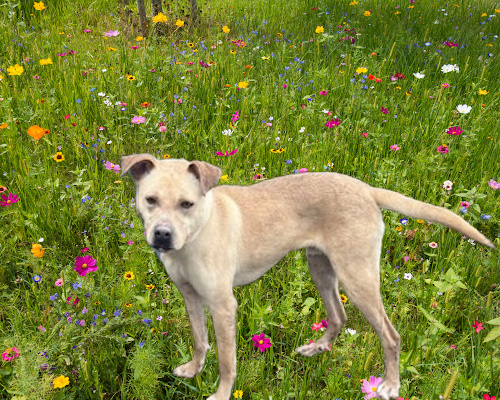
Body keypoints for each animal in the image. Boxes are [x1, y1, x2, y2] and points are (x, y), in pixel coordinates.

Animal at [120, 154, 492, 400]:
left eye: (187, 204)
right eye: (150, 200)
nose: (162, 235)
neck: (196, 234)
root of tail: (366, 189)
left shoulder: (223, 305)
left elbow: (226, 360)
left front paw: (221, 394)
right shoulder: (191, 297)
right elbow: (200, 340)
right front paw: (194, 370)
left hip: (358, 278)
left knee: (390, 335)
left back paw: (390, 384)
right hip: (322, 269)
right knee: (338, 316)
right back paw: (318, 348)